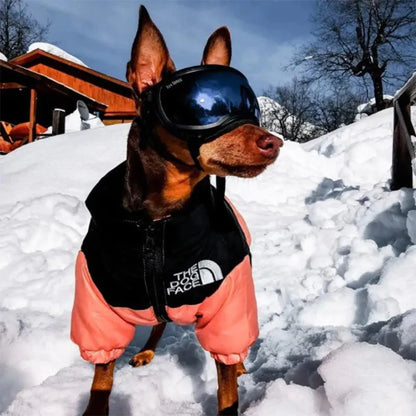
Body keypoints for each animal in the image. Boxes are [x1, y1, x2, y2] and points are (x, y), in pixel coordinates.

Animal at [71, 4, 282, 414]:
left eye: (250, 108)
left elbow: (227, 388)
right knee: (158, 322)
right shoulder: (97, 305)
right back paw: (147, 351)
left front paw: (233, 379)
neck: (158, 219)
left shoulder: (229, 304)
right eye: (200, 108)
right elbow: (101, 378)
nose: (275, 142)